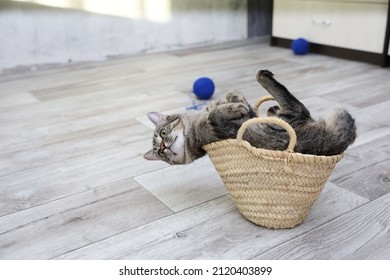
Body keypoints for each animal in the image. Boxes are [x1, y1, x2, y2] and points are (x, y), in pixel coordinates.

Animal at [143, 70, 356, 165]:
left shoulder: (248, 112)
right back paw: (264, 78)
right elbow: (214, 115)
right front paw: (231, 105)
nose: (163, 147)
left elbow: (233, 102)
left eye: (163, 133)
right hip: (295, 116)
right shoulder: (218, 127)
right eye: (161, 154)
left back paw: (270, 104)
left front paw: (233, 97)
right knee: (293, 102)